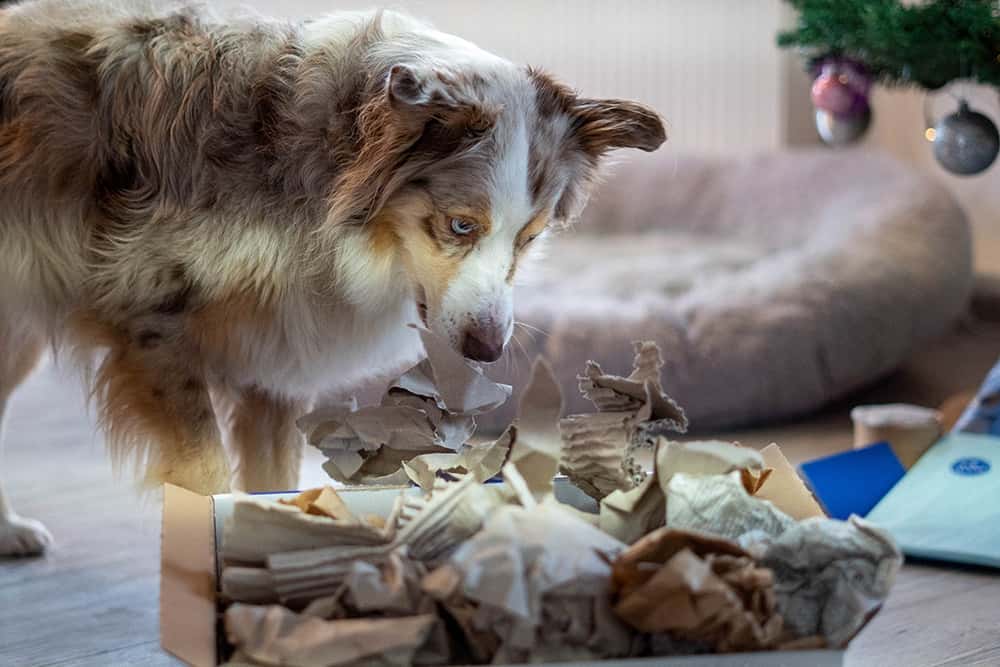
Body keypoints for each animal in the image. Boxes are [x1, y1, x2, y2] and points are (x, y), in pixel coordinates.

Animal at [0, 0, 668, 556]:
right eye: (459, 225)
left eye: (529, 238)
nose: (487, 349)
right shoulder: (150, 319)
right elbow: (206, 472)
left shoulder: (276, 345)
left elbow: (270, 478)